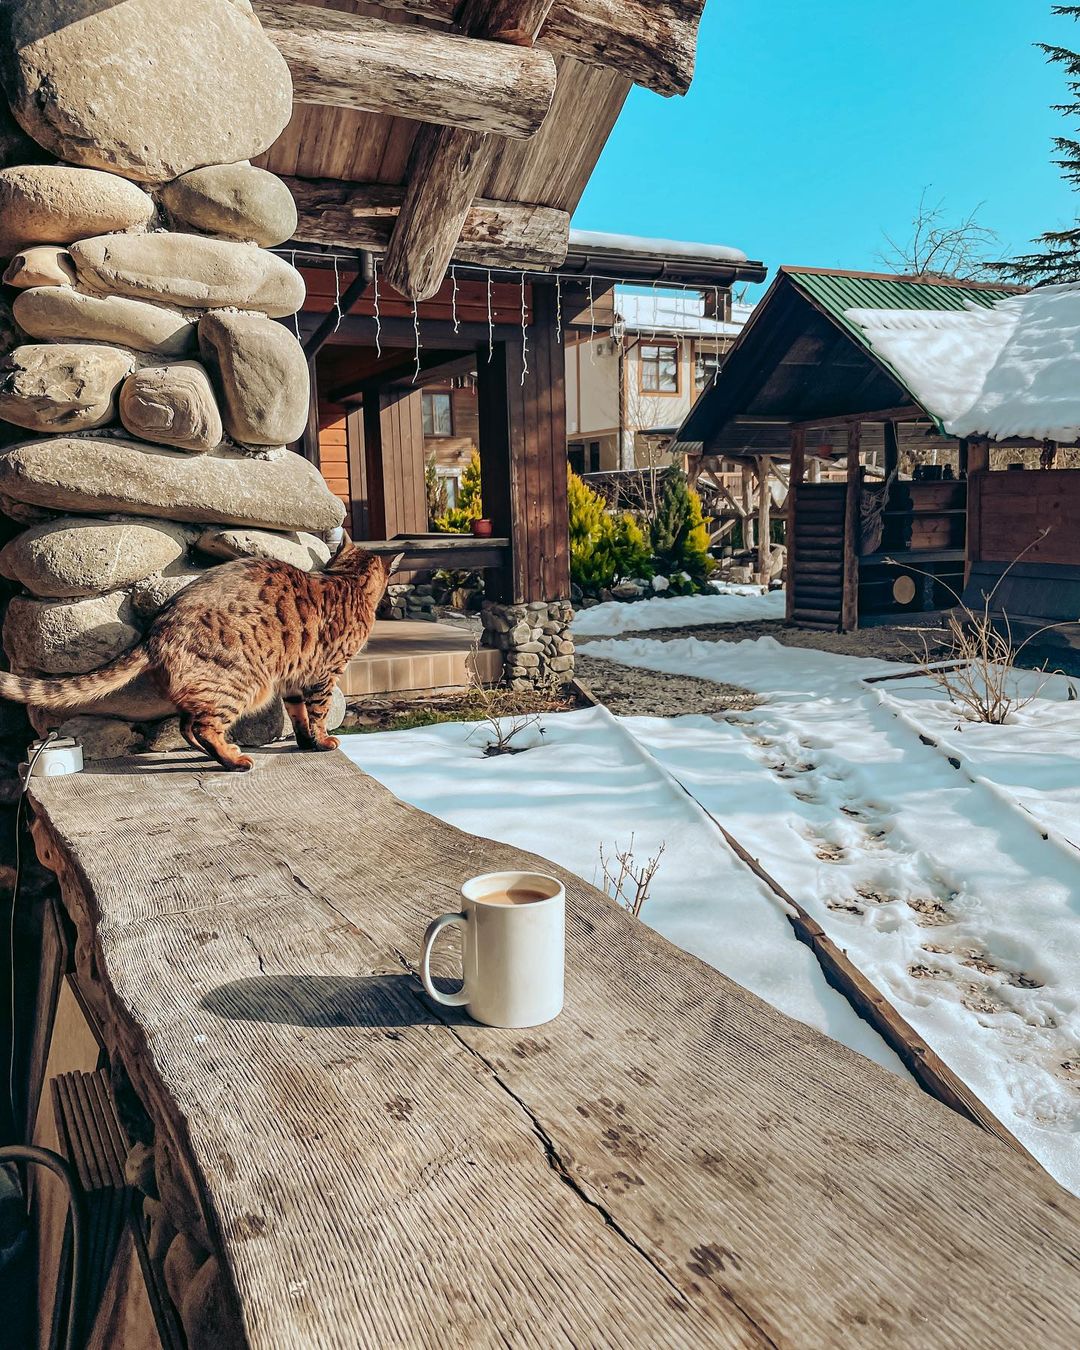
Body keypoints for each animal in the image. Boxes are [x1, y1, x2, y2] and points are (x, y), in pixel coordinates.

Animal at [0, 537, 399, 772]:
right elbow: (317, 714)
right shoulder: (323, 674)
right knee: (203, 726)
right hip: (240, 683)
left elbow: (299, 714)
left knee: (186, 725)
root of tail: (159, 626)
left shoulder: (293, 677)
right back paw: (234, 760)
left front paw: (305, 742)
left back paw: (221, 755)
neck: (346, 580)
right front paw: (321, 742)